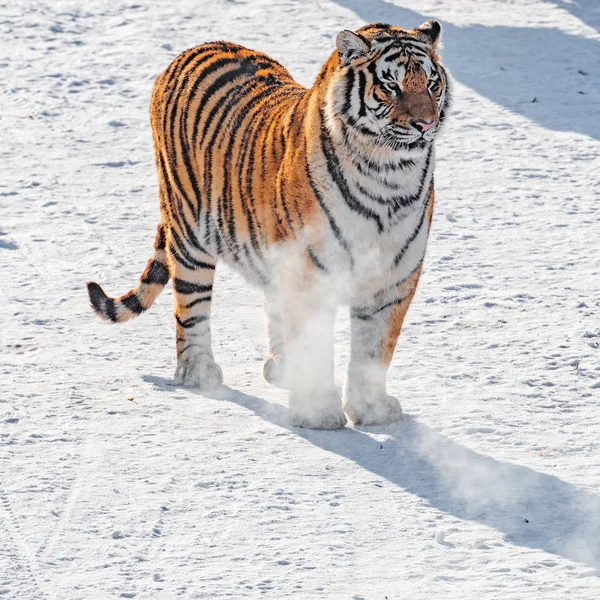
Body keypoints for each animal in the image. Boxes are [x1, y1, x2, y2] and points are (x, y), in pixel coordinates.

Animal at [88, 21, 450, 428]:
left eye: (432, 84)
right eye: (391, 86)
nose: (426, 124)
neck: (387, 175)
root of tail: (192, 49)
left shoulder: (393, 276)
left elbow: (375, 349)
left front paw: (371, 411)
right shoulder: (312, 272)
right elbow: (315, 344)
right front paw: (318, 413)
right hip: (189, 234)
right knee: (191, 307)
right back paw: (197, 373)